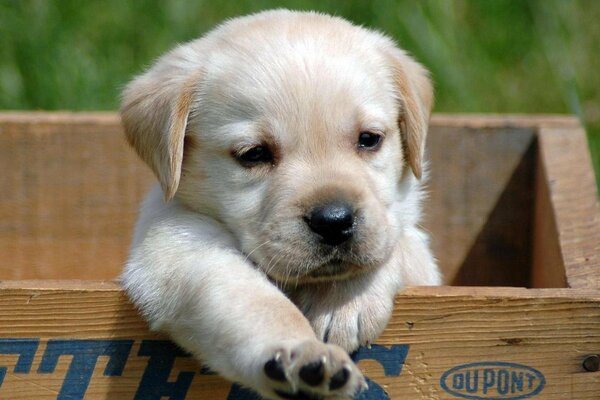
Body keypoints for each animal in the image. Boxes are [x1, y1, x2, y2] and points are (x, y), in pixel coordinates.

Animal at [120, 9, 440, 400]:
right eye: (254, 154)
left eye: (369, 139)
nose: (334, 220)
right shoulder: (175, 248)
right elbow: (254, 300)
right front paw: (304, 355)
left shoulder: (417, 254)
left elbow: (399, 243)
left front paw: (342, 300)